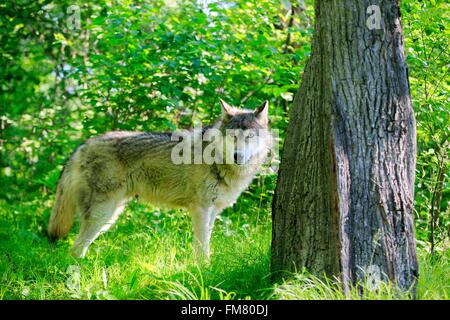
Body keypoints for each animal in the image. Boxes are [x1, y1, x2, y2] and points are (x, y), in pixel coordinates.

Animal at [46, 100, 270, 260]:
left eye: (249, 136)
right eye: (233, 136)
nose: (238, 156)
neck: (217, 161)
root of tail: (82, 145)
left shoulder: (212, 212)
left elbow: (206, 244)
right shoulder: (201, 209)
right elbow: (201, 247)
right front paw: (203, 270)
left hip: (110, 216)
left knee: (78, 246)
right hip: (102, 214)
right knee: (76, 247)